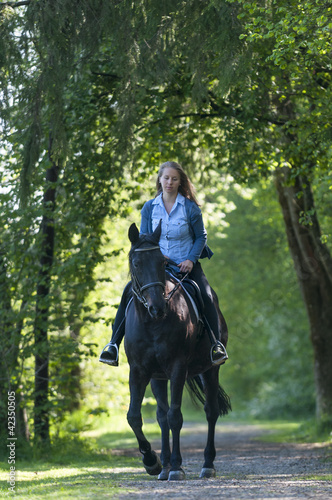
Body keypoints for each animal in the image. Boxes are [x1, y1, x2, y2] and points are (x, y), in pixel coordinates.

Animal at [123, 222, 230, 480]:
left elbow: (175, 416)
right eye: (136, 263)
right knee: (161, 417)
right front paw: (152, 462)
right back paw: (164, 465)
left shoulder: (178, 368)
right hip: (157, 377)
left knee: (211, 411)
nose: (157, 308)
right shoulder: (138, 371)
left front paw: (177, 466)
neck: (151, 323)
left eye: (162, 262)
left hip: (210, 370)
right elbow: (135, 416)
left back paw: (207, 464)